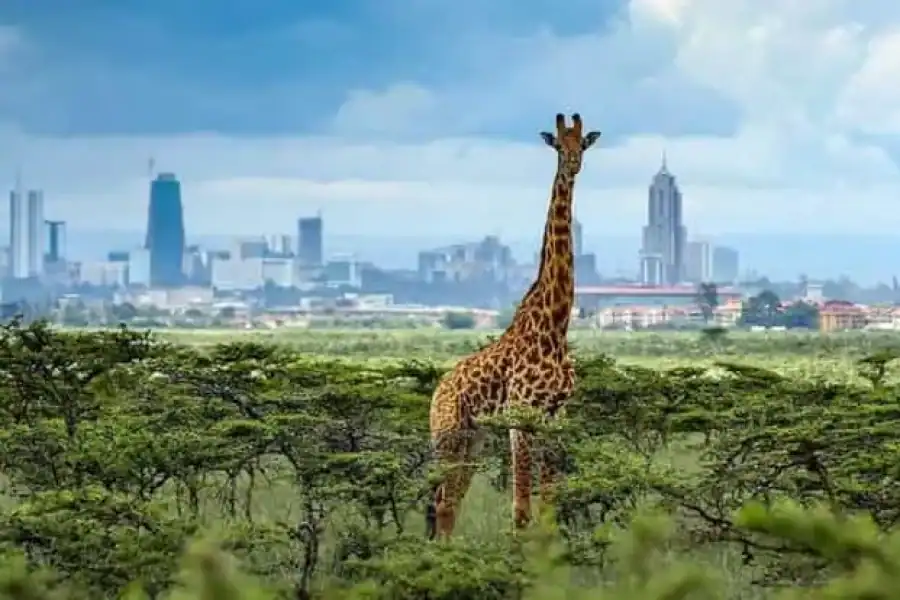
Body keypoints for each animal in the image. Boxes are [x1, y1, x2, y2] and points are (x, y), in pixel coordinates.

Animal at [426, 113, 601, 539]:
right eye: (558, 145)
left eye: (582, 144)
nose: (573, 165)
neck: (555, 325)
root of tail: (437, 392)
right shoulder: (520, 416)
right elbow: (521, 510)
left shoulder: (555, 417)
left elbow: (550, 505)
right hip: (447, 434)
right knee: (442, 502)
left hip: (473, 437)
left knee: (450, 502)